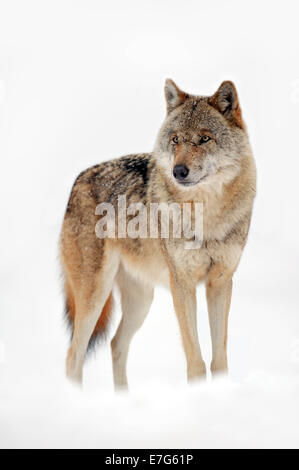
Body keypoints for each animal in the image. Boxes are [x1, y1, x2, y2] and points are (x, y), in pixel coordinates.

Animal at [59, 80, 256, 390]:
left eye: (204, 139)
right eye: (175, 140)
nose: (179, 171)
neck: (207, 215)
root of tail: (78, 180)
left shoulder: (221, 282)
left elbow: (219, 360)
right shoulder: (182, 284)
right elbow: (196, 361)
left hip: (141, 301)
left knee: (116, 344)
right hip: (95, 296)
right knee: (73, 356)